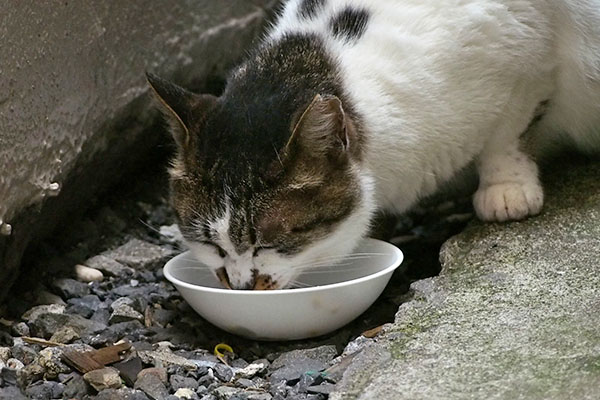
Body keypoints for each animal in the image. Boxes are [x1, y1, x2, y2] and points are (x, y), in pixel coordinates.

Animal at [146, 0, 600, 290]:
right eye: (209, 243)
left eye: (273, 241)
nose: (241, 285)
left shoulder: (528, 52)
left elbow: (507, 131)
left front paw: (506, 188)